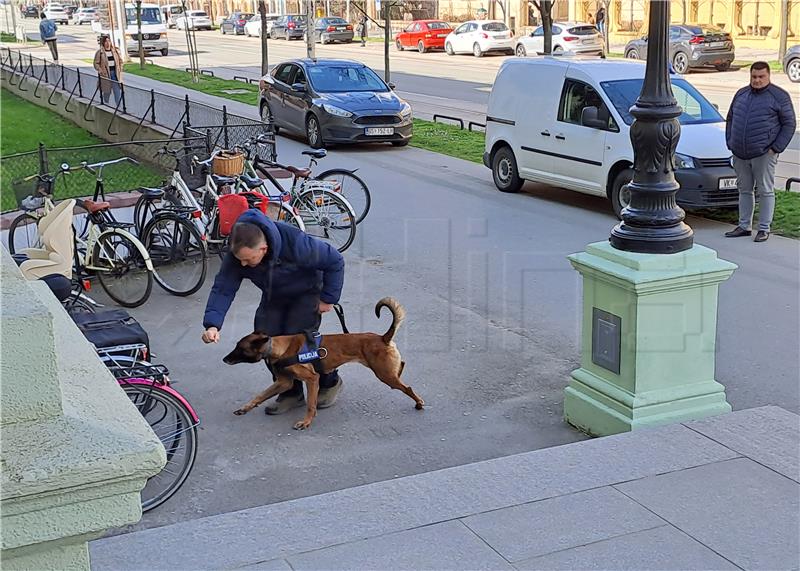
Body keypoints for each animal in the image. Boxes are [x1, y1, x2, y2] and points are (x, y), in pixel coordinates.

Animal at [222, 300, 424, 428]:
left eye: (240, 348)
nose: (224, 359)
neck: (279, 347)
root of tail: (383, 338)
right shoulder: (283, 382)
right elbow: (260, 395)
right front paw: (245, 408)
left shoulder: (312, 379)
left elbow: (311, 404)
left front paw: (306, 422)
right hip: (386, 371)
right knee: (401, 366)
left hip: (384, 375)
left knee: (407, 387)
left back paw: (419, 403)